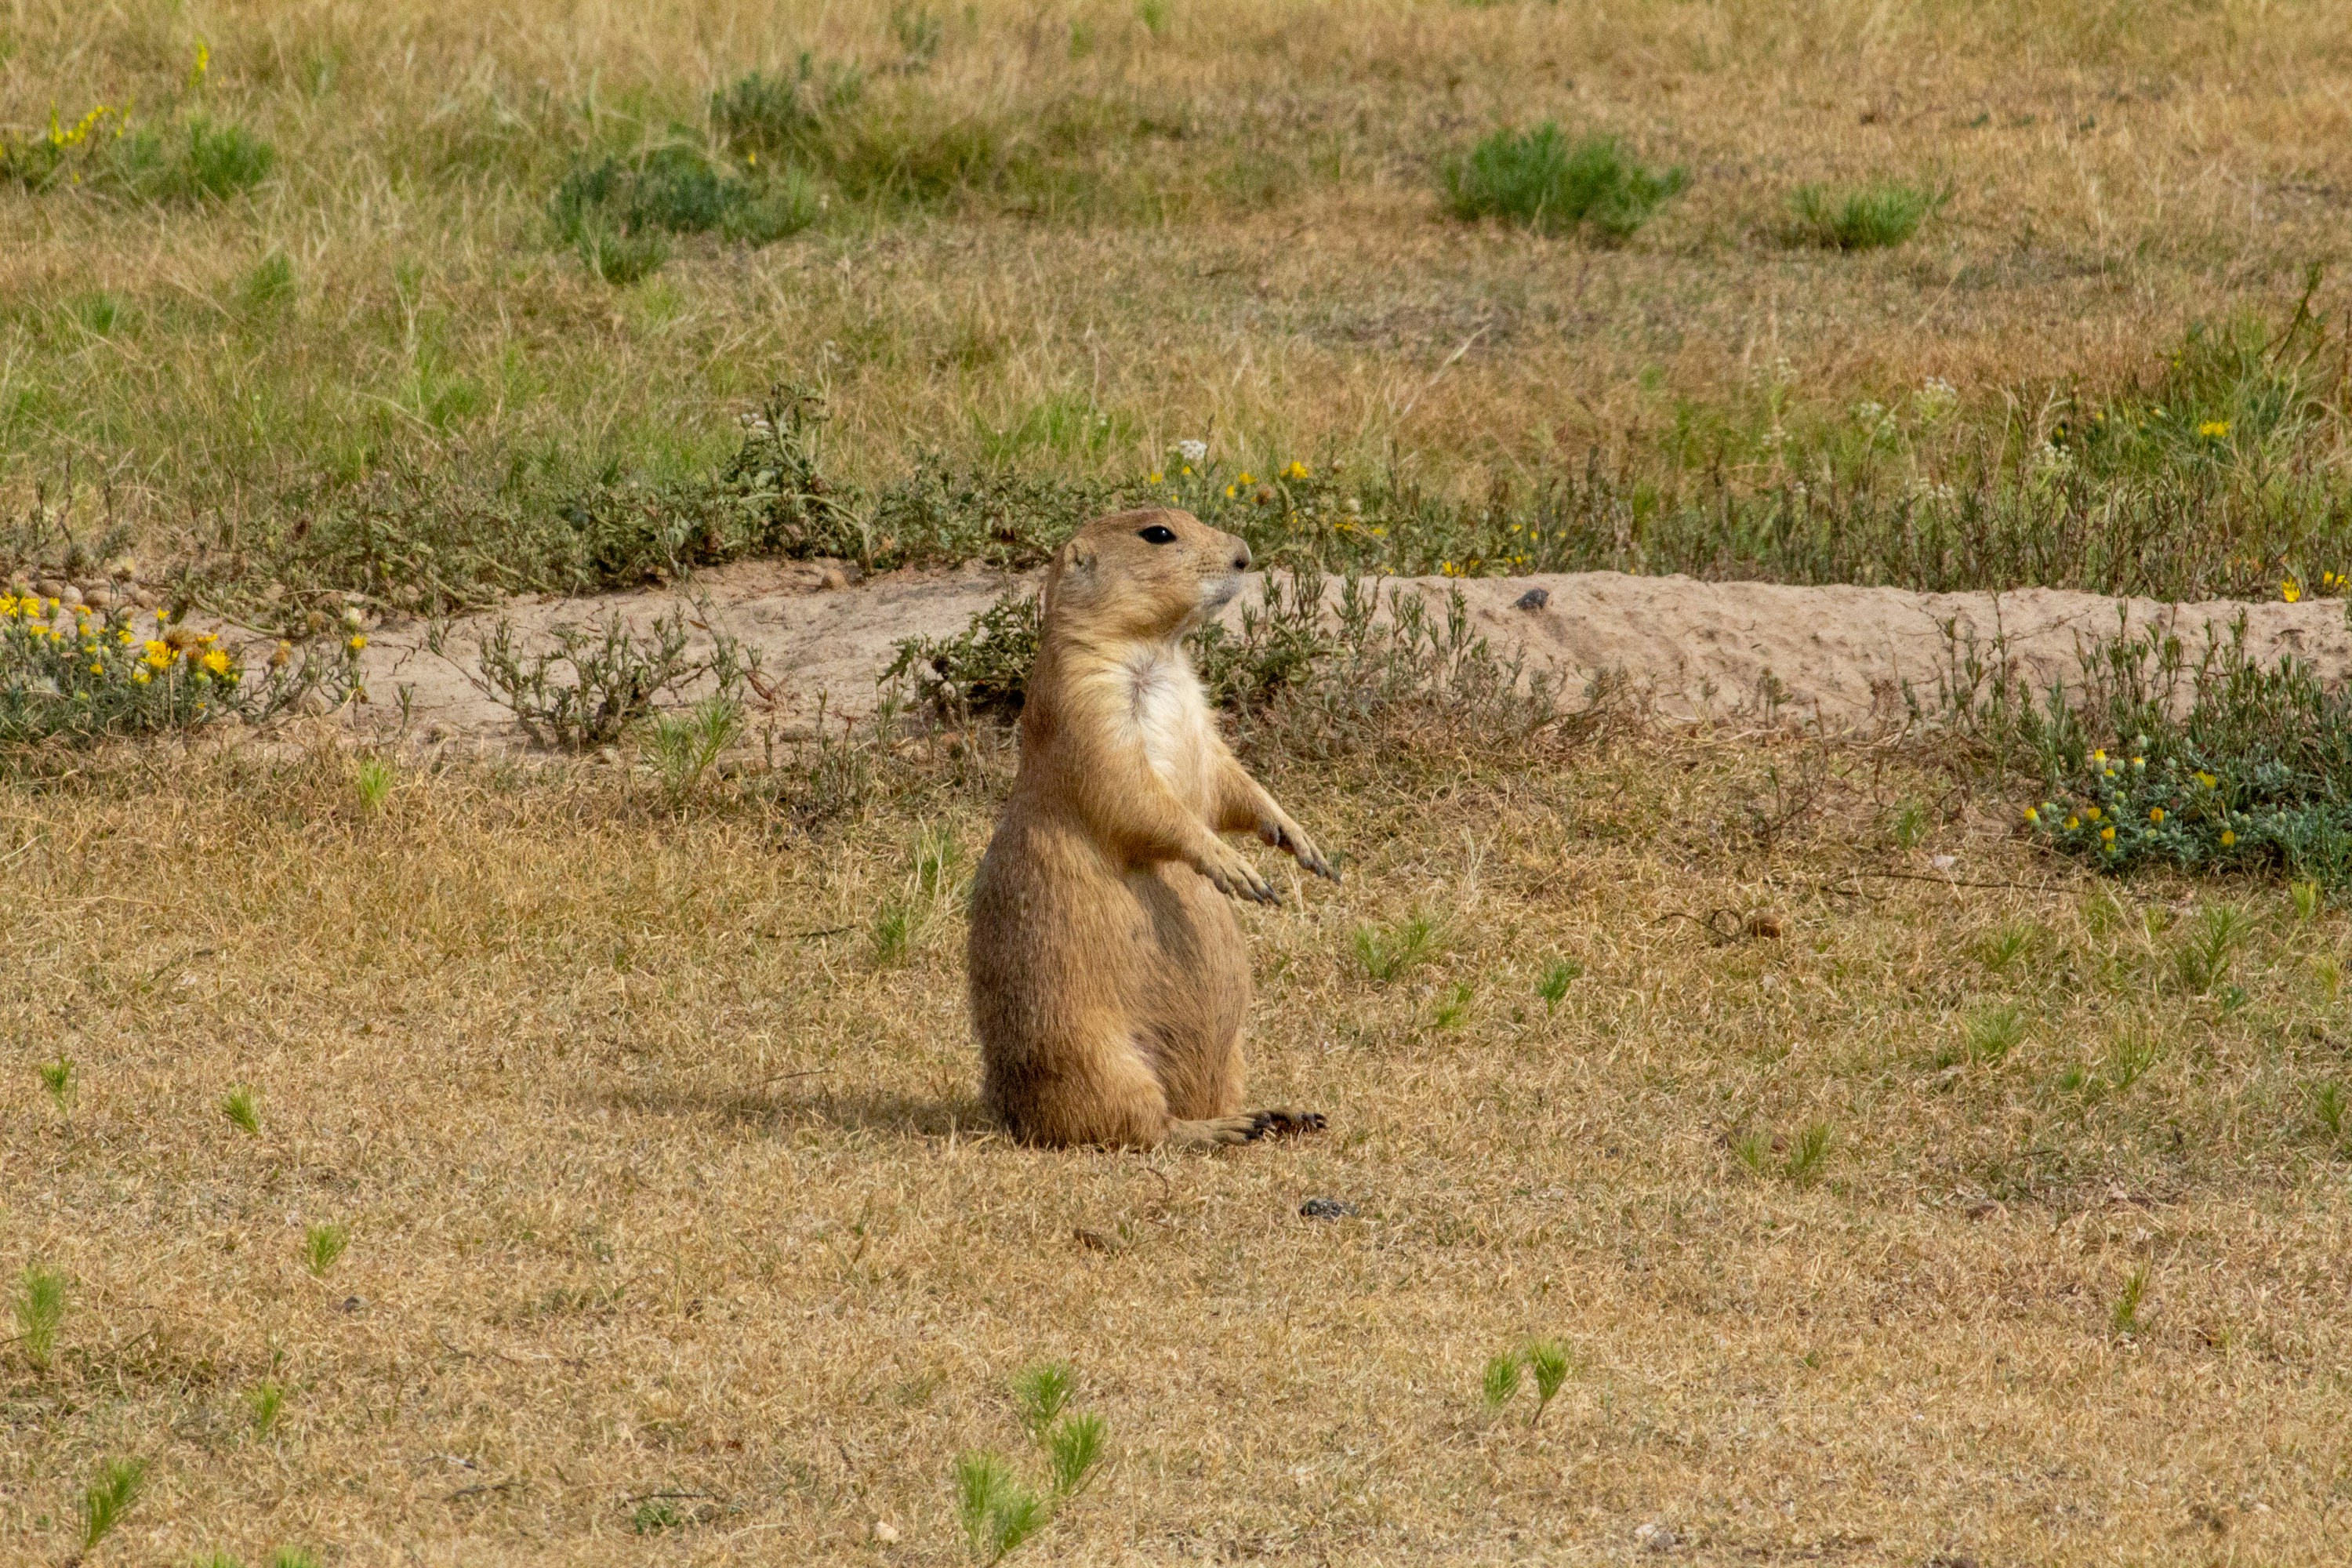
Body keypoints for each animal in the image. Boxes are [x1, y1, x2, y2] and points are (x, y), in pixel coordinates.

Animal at [967, 507, 1338, 1148]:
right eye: (1159, 534)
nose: (1245, 555)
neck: (1158, 650)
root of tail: (1010, 1113)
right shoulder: (1087, 705)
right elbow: (1138, 796)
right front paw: (1235, 868)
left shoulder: (1200, 717)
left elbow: (1225, 776)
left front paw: (1299, 840)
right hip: (1096, 1056)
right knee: (1144, 1127)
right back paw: (1225, 1128)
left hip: (1231, 1053)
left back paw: (1283, 1114)